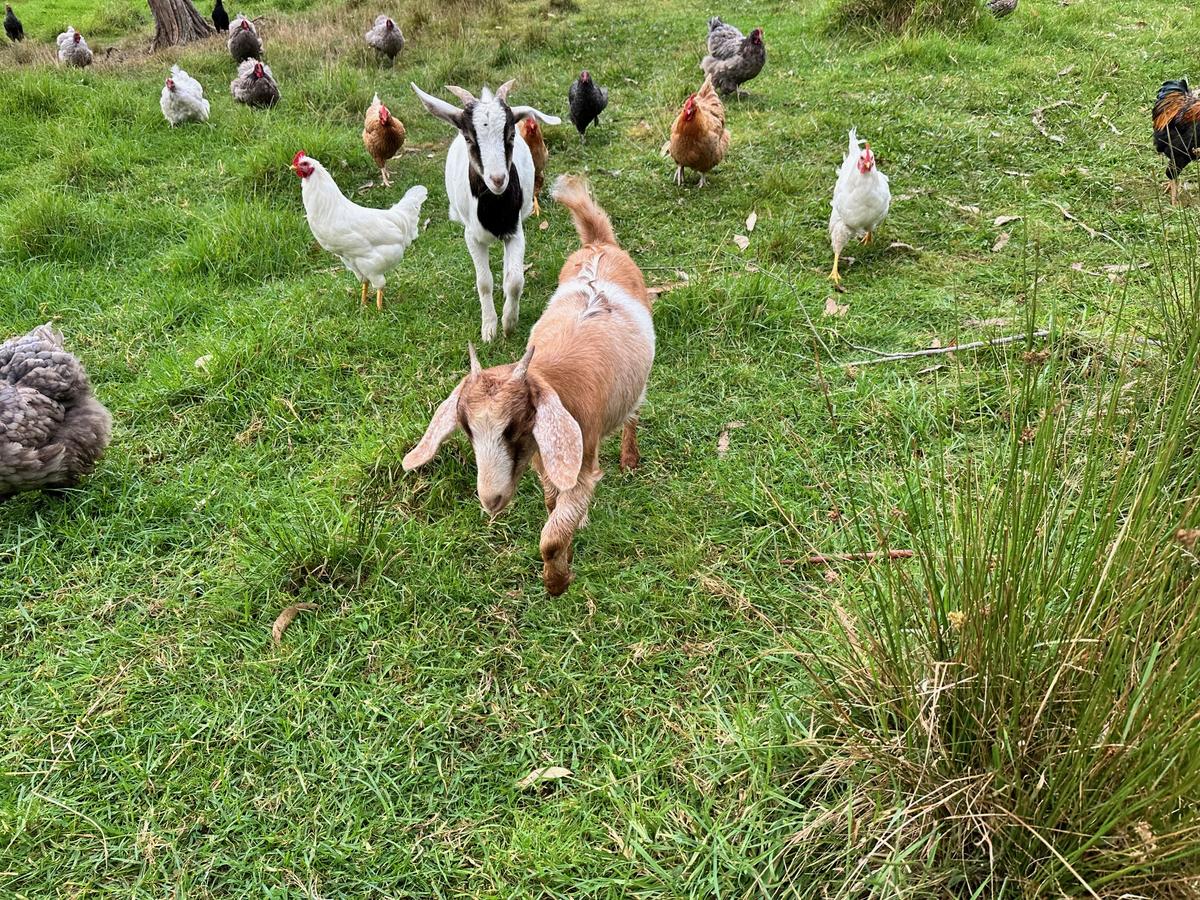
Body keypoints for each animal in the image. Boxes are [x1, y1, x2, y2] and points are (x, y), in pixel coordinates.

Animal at [403, 176, 654, 595]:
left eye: (515, 426)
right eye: (467, 430)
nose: (490, 500)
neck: (551, 377)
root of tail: (599, 245)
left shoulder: (580, 457)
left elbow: (552, 534)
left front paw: (557, 581)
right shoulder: (545, 455)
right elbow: (553, 503)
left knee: (634, 413)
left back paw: (630, 458)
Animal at [410, 81, 560, 343]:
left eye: (511, 135)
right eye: (469, 138)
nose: (498, 179)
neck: (495, 213)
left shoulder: (515, 231)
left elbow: (515, 280)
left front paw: (509, 323)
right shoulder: (472, 237)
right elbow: (484, 282)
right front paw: (489, 328)